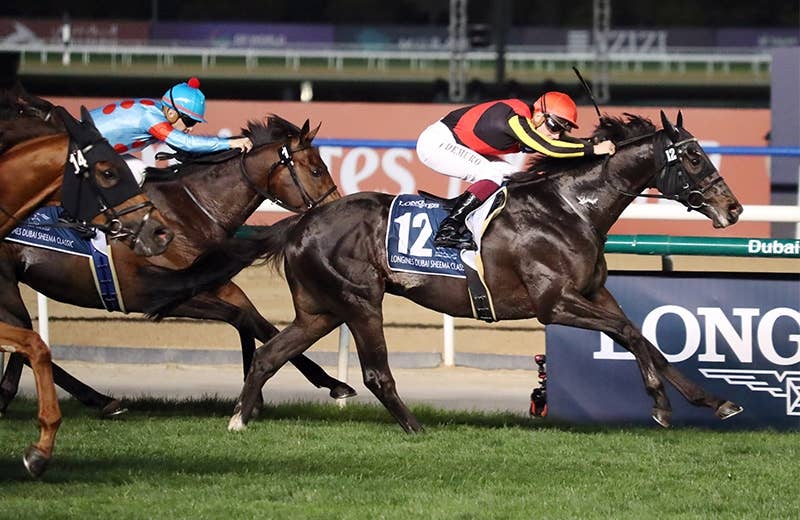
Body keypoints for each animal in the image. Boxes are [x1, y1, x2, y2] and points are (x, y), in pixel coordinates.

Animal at [0, 114, 355, 421]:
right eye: (315, 170)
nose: (334, 209)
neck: (185, 213)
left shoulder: (216, 283)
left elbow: (260, 324)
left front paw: (331, 384)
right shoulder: (156, 295)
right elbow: (242, 319)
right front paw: (254, 399)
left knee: (24, 335)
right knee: (24, 334)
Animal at [143, 111, 746, 433]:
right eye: (694, 157)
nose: (735, 208)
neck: (571, 208)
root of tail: (301, 222)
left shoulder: (595, 292)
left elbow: (645, 339)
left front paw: (708, 401)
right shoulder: (554, 304)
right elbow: (628, 334)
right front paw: (665, 406)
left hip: (320, 309)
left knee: (270, 352)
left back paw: (241, 418)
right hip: (360, 300)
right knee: (375, 372)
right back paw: (414, 427)